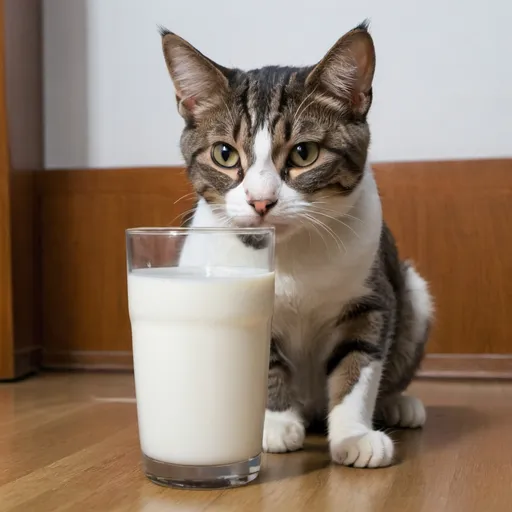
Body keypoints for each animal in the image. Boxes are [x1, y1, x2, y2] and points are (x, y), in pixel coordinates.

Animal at [159, 20, 432, 468]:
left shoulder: (371, 298)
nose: (261, 200)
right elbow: (265, 362)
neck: (292, 257)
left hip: (413, 292)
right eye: (224, 154)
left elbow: (358, 363)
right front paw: (274, 423)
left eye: (304, 153)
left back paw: (398, 403)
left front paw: (354, 435)